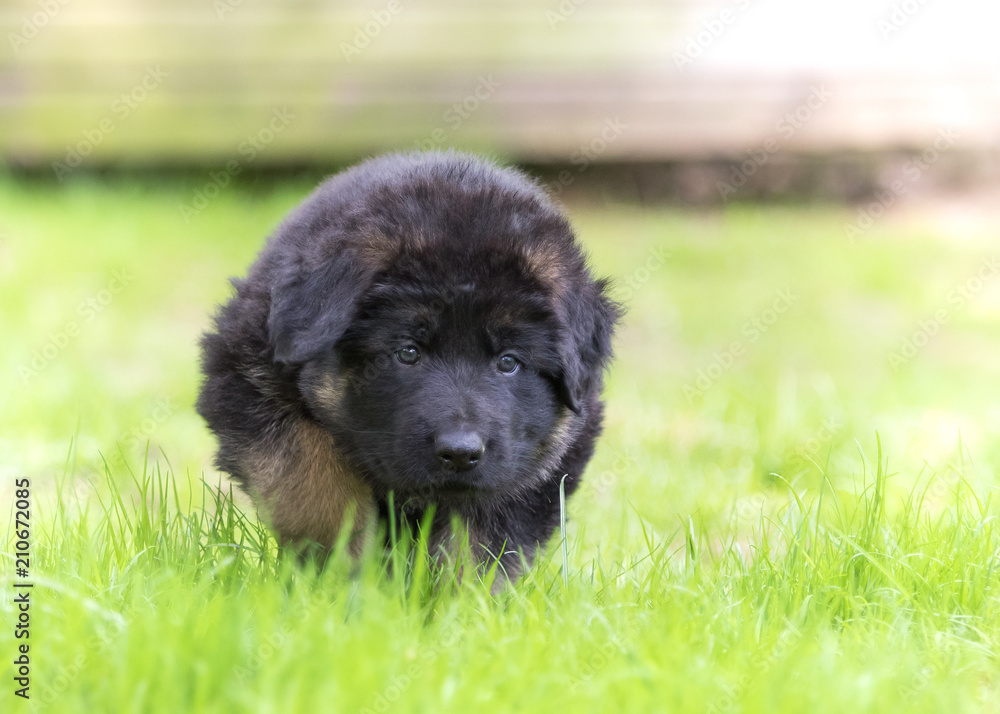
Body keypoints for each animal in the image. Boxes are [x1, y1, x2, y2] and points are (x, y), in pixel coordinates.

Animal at [194, 150, 616, 580]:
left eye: (509, 362)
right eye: (408, 353)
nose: (460, 453)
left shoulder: (548, 452)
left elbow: (481, 536)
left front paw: (456, 595)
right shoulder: (249, 379)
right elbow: (314, 480)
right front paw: (340, 574)